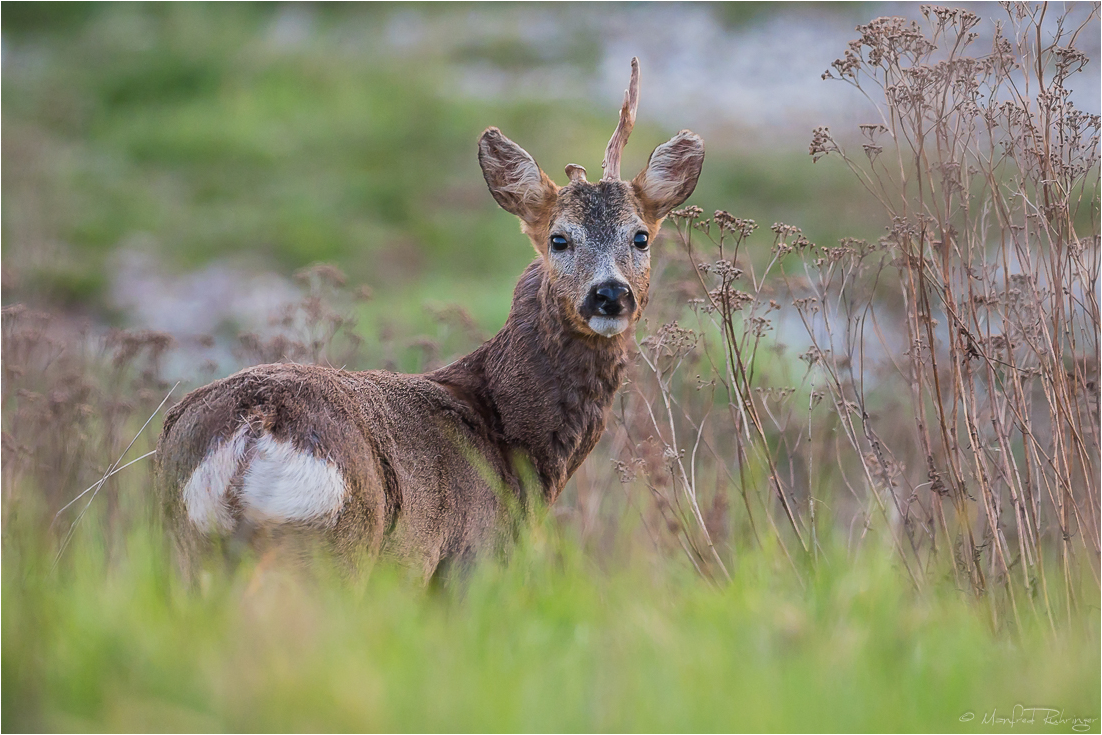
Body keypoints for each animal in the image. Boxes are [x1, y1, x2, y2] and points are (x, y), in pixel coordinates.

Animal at [155, 60, 705, 581]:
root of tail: (254, 429)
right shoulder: (472, 558)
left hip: (189, 550)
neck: (512, 436)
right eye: (559, 239)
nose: (610, 294)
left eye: (640, 237)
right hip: (333, 545)